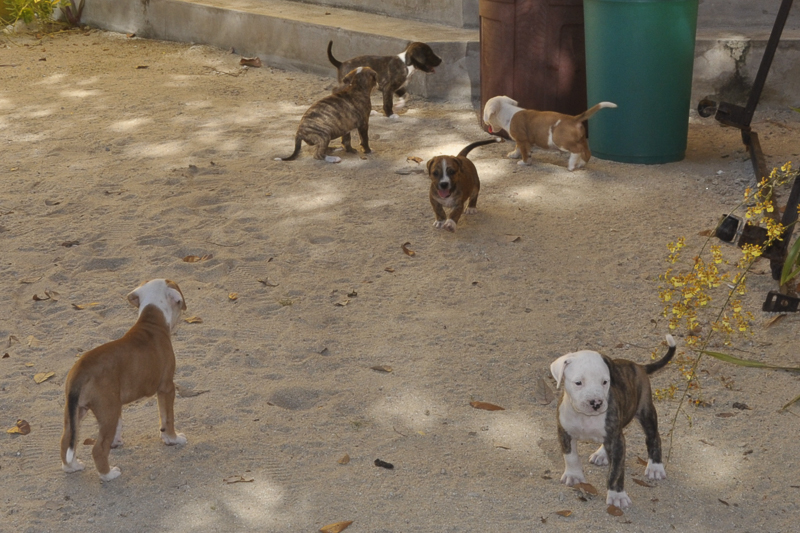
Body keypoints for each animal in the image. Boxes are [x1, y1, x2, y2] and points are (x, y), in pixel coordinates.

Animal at [61, 278, 188, 482]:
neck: (152, 320)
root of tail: (81, 370)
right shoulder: (167, 388)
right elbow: (167, 418)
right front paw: (172, 438)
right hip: (108, 411)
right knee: (98, 449)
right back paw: (108, 474)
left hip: (75, 412)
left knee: (66, 440)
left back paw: (71, 467)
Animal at [482, 94, 620, 170]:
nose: (484, 120)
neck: (507, 112)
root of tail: (573, 119)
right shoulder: (522, 141)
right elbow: (518, 148)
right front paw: (513, 154)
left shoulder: (522, 139)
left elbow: (524, 152)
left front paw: (524, 162)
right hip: (581, 140)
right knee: (587, 152)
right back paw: (580, 164)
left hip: (560, 141)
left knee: (577, 150)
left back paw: (571, 165)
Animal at [552, 336, 680, 508]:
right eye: (578, 383)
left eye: (605, 382)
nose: (596, 403)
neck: (586, 417)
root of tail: (638, 366)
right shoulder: (564, 432)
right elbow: (570, 455)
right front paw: (574, 475)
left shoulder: (617, 442)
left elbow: (616, 471)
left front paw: (617, 495)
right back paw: (601, 453)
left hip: (645, 411)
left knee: (653, 437)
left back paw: (655, 467)